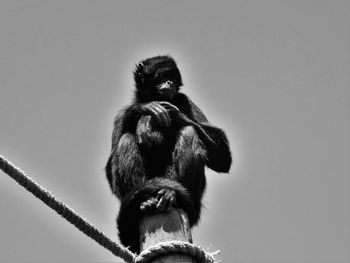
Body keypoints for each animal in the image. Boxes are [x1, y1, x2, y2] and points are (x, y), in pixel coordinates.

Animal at [105, 55, 231, 254]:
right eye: (163, 75)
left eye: (173, 77)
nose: (170, 82)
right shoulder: (121, 113)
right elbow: (109, 172)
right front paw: (143, 109)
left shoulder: (183, 99)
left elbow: (224, 160)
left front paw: (172, 116)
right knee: (126, 138)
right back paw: (145, 200)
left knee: (189, 131)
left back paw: (170, 194)